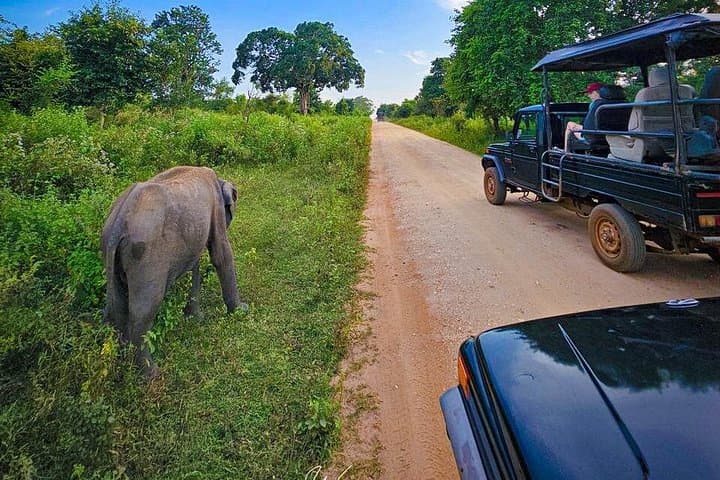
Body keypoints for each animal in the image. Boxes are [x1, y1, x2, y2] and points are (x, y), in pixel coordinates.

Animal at [101, 166, 246, 377]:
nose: (243, 308)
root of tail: (117, 224)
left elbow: (195, 262)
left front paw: (195, 318)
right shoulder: (216, 208)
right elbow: (221, 254)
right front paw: (241, 311)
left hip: (112, 257)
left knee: (118, 305)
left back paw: (124, 363)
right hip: (146, 259)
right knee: (143, 309)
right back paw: (151, 373)